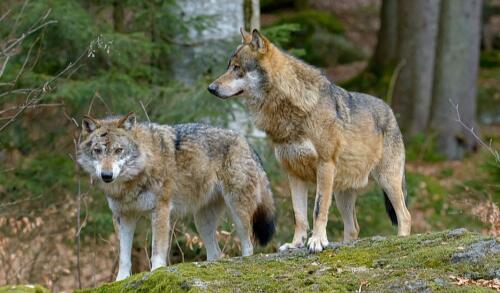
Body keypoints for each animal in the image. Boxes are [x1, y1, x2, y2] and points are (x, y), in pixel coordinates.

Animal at [76, 113, 276, 280]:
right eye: (98, 151)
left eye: (119, 150)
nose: (106, 175)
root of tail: (246, 142)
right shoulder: (124, 217)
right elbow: (124, 256)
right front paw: (121, 280)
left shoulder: (161, 210)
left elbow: (157, 250)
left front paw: (156, 272)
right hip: (202, 222)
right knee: (216, 253)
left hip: (238, 214)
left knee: (248, 246)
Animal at [209, 28, 412, 253]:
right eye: (228, 67)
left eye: (237, 68)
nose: (211, 88)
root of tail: (391, 112)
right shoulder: (293, 173)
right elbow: (299, 215)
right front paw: (296, 243)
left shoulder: (324, 166)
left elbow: (318, 209)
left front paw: (317, 241)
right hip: (342, 194)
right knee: (354, 227)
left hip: (387, 181)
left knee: (405, 215)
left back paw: (401, 239)